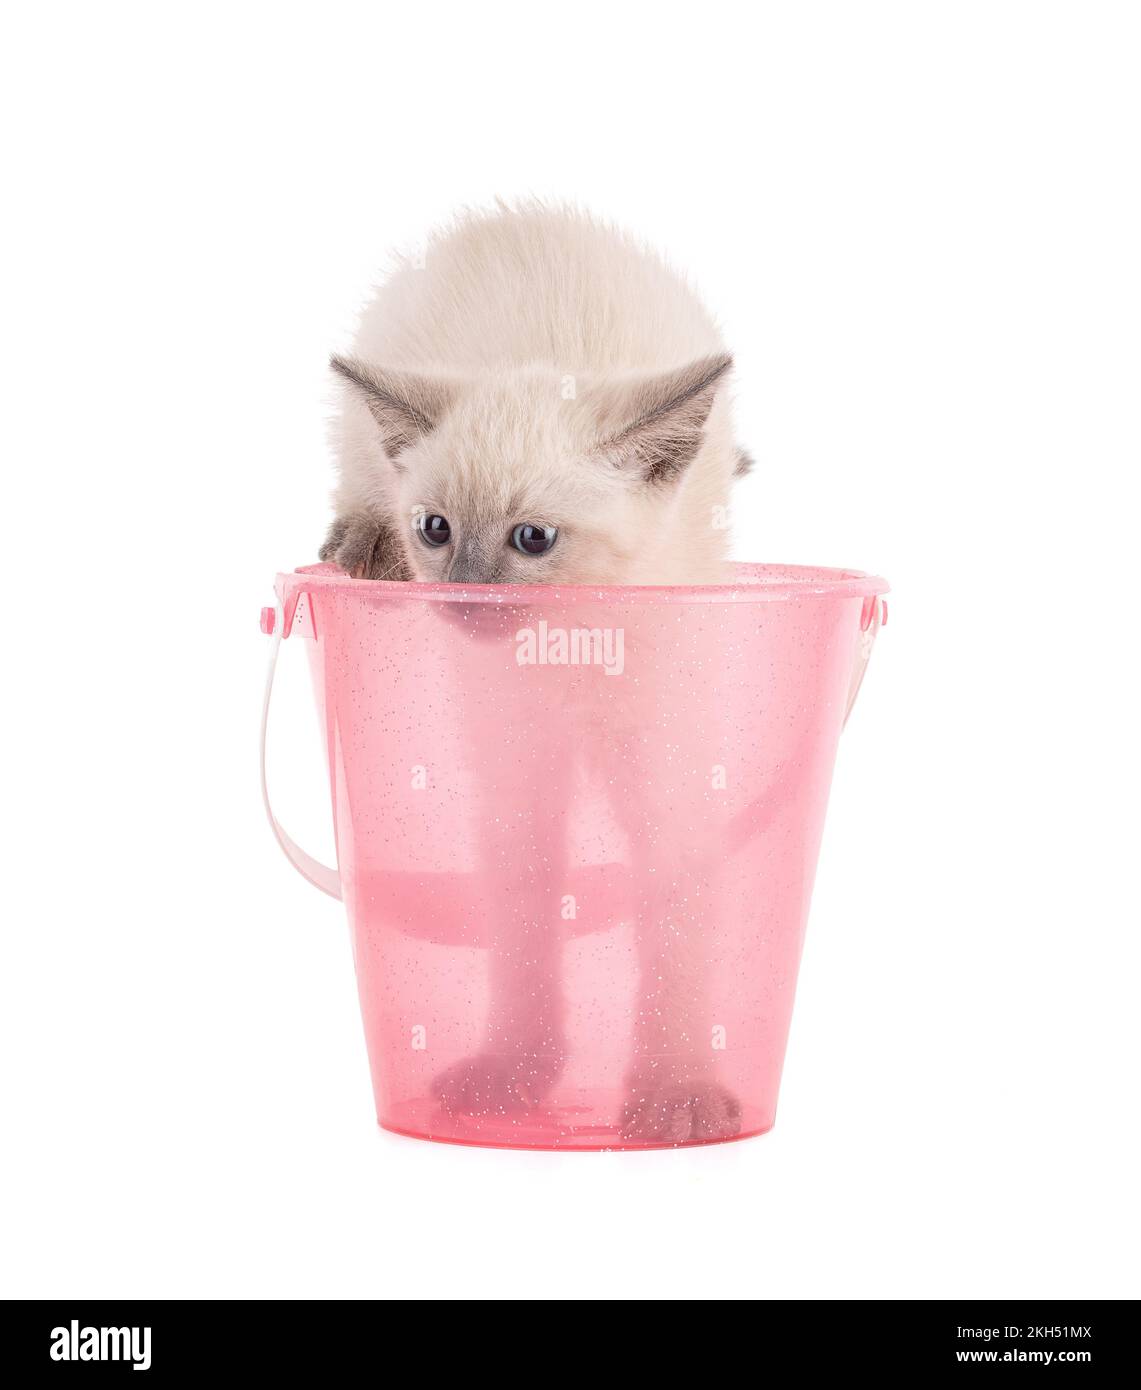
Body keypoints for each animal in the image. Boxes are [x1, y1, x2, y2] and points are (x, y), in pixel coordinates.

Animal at [322, 205, 750, 1139]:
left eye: (532, 540)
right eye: (436, 529)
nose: (463, 593)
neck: (566, 662)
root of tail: (516, 215)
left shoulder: (665, 774)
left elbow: (673, 930)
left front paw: (675, 1095)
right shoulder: (511, 769)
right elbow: (523, 916)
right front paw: (513, 1075)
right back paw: (359, 544)